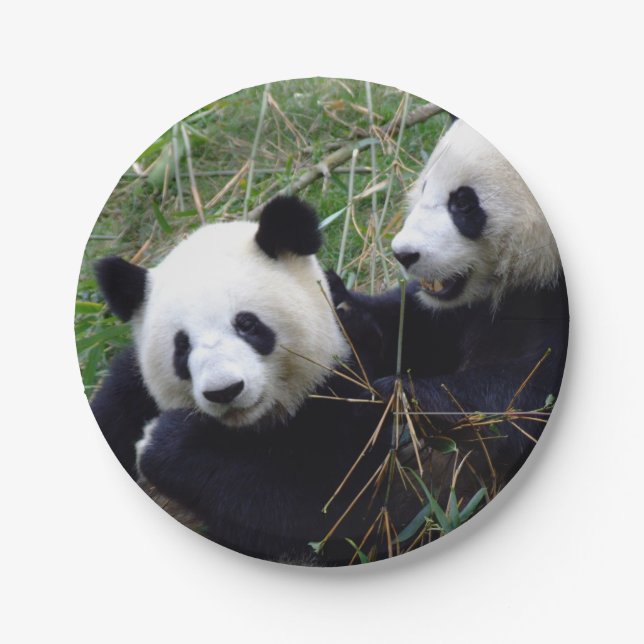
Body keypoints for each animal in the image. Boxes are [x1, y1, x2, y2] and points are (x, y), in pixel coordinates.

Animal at [90, 196, 389, 564]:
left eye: (247, 324)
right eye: (182, 346)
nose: (224, 391)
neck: (249, 429)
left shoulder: (346, 388)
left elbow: (332, 511)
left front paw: (164, 441)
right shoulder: (127, 396)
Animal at [331, 119, 569, 506]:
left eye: (463, 203)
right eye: (425, 186)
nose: (404, 254)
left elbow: (518, 398)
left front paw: (400, 393)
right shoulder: (455, 310)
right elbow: (414, 328)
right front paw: (344, 309)